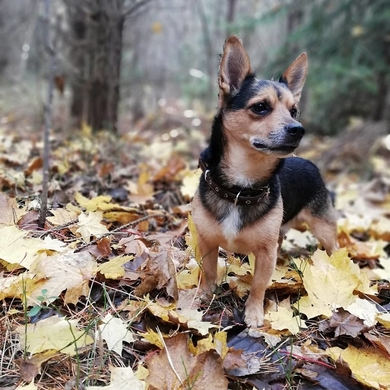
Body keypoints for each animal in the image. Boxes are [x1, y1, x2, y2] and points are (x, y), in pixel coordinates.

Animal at [192, 37, 338, 330]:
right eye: (260, 107)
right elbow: (209, 270)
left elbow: (259, 283)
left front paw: (254, 313)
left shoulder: (265, 253)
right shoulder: (207, 241)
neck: (240, 188)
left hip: (323, 229)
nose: (298, 129)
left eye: (294, 111)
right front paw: (204, 295)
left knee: (334, 247)